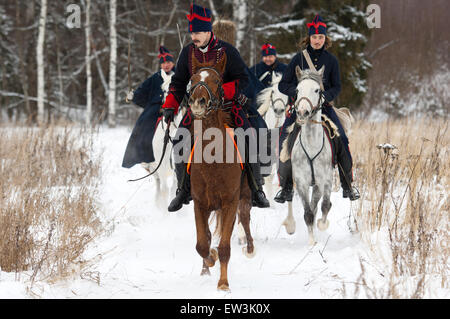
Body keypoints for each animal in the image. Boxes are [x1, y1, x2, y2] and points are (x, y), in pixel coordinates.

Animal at [188, 53, 255, 292]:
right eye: (193, 78)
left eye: (217, 81)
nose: (198, 102)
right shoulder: (200, 203)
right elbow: (202, 243)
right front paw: (209, 260)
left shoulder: (229, 202)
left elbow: (224, 246)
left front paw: (224, 283)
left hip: (244, 195)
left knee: (245, 217)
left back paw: (250, 248)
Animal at [282, 67, 334, 246]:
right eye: (297, 90)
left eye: (317, 90)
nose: (303, 112)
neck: (311, 144)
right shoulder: (302, 182)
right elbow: (308, 212)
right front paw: (312, 241)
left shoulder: (320, 181)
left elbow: (320, 206)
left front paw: (320, 227)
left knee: (323, 204)